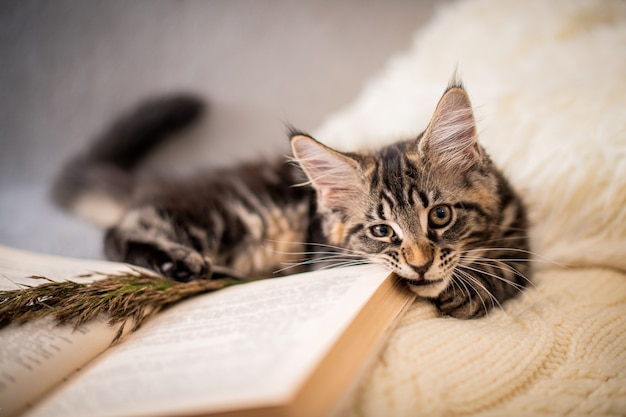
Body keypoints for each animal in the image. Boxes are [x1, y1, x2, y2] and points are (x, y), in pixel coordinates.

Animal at [54, 81, 532, 318]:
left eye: (441, 215)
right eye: (382, 231)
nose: (418, 265)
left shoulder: (519, 229)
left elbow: (512, 265)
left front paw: (476, 285)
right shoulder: (323, 257)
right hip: (240, 214)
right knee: (119, 232)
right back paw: (184, 264)